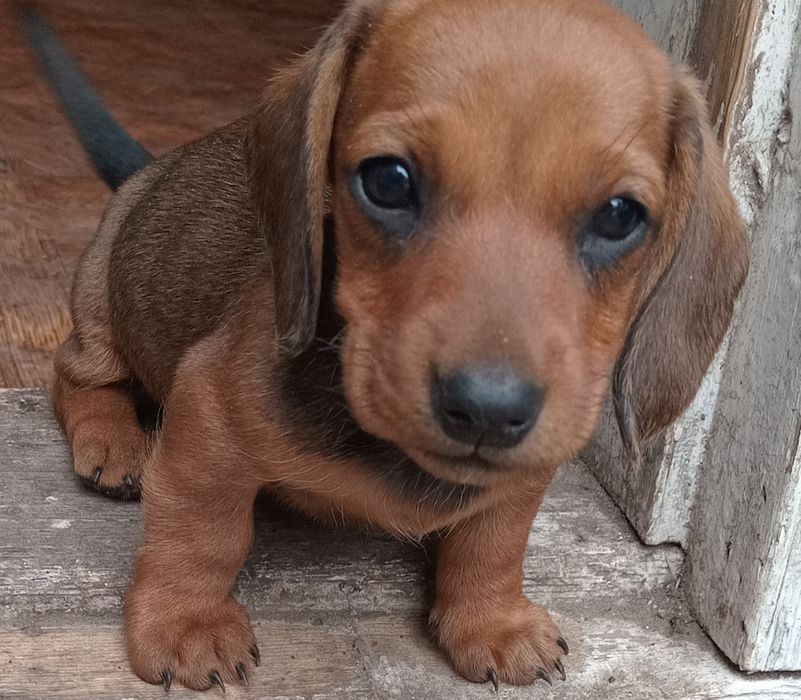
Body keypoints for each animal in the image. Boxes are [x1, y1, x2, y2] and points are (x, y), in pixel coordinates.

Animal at [29, 0, 748, 692]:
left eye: (620, 216)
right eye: (389, 180)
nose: (487, 410)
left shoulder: (528, 472)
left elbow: (493, 543)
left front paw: (492, 621)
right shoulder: (207, 416)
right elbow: (203, 532)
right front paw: (187, 623)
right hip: (99, 301)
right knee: (75, 375)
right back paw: (113, 443)